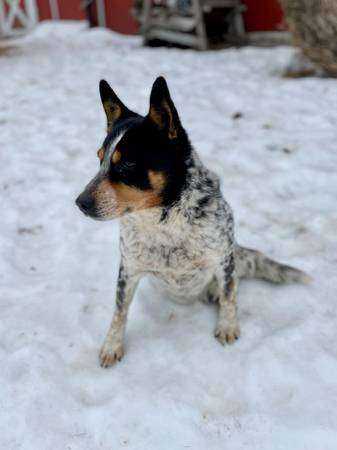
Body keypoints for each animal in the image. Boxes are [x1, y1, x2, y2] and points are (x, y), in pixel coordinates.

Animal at [75, 75, 308, 368]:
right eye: (100, 158)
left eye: (127, 163)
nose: (80, 202)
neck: (164, 222)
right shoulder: (128, 269)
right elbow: (119, 312)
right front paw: (112, 346)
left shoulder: (223, 259)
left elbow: (230, 297)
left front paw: (228, 327)